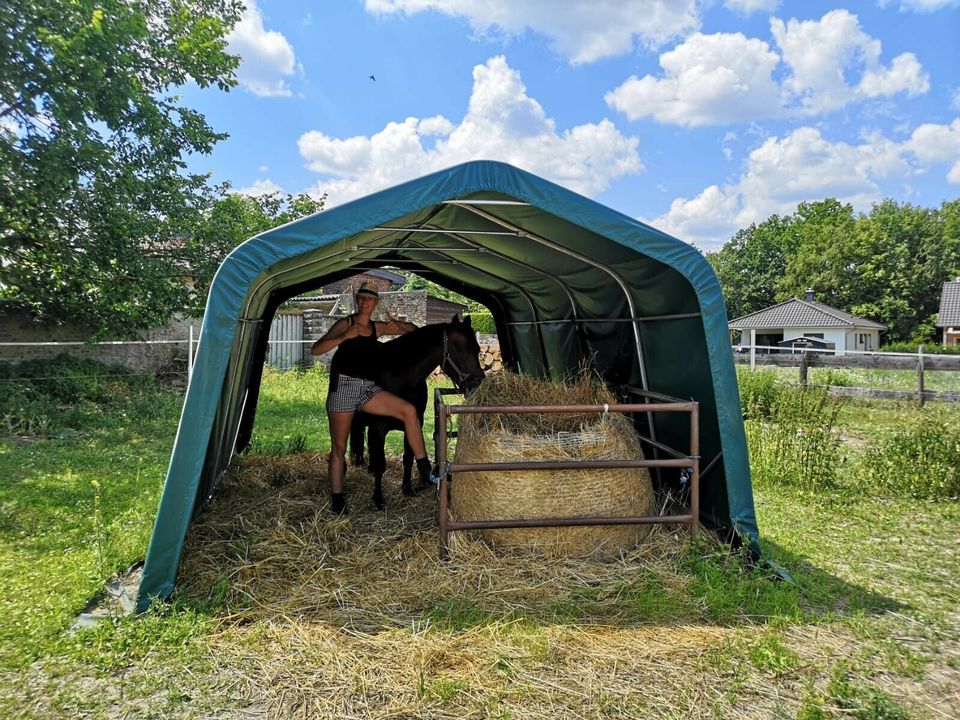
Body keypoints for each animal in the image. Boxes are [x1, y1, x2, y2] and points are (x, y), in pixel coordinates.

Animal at [348, 316, 484, 512]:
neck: (398, 377)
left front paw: (407, 489)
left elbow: (408, 457)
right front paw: (378, 499)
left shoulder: (413, 422)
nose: (477, 384)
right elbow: (381, 464)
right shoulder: (378, 427)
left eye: (478, 349)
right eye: (461, 347)